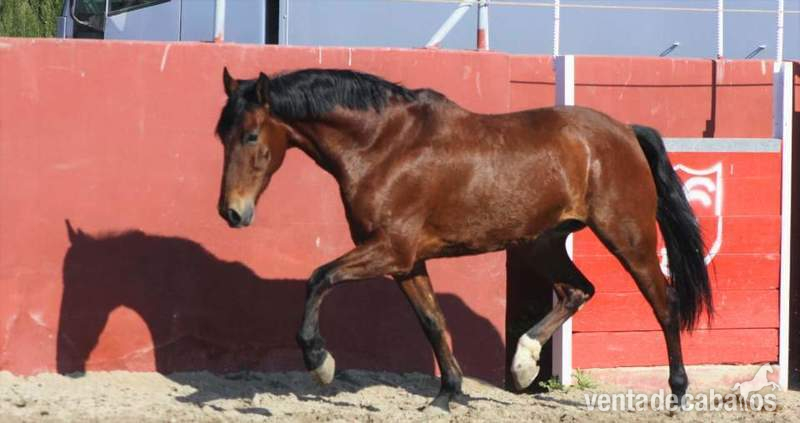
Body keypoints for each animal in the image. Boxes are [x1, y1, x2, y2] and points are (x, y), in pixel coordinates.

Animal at [214, 67, 713, 412]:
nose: (231, 212)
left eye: (251, 135)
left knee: (664, 304)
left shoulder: (390, 249)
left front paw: (320, 363)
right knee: (577, 290)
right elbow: (433, 322)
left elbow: (319, 278)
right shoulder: (406, 261)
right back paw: (523, 365)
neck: (384, 146)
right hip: (540, 243)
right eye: (222, 135)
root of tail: (625, 131)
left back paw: (678, 394)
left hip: (628, 236)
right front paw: (446, 394)